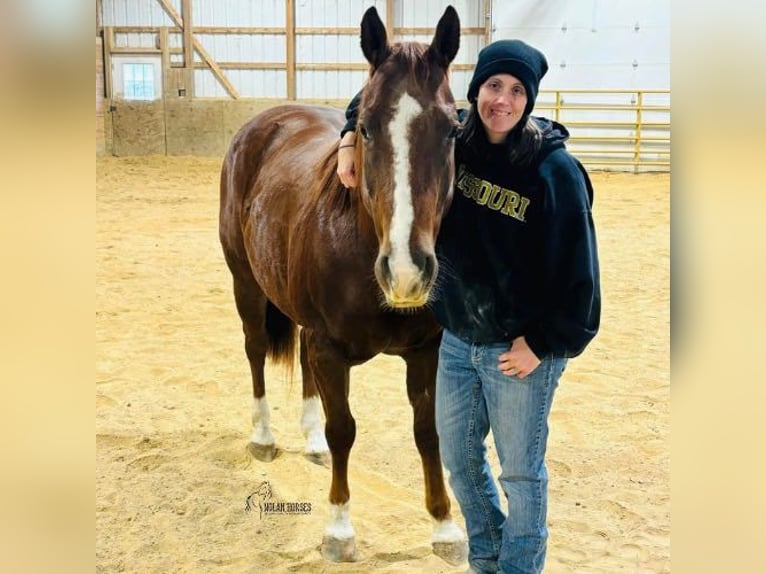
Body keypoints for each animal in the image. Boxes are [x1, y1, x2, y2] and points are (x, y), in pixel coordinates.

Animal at [218, 3, 468, 564]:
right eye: (367, 128)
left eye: (450, 130)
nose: (406, 270)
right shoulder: (331, 349)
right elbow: (344, 431)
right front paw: (338, 529)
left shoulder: (426, 350)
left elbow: (427, 432)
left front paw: (445, 526)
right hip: (246, 284)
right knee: (254, 350)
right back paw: (263, 435)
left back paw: (307, 440)